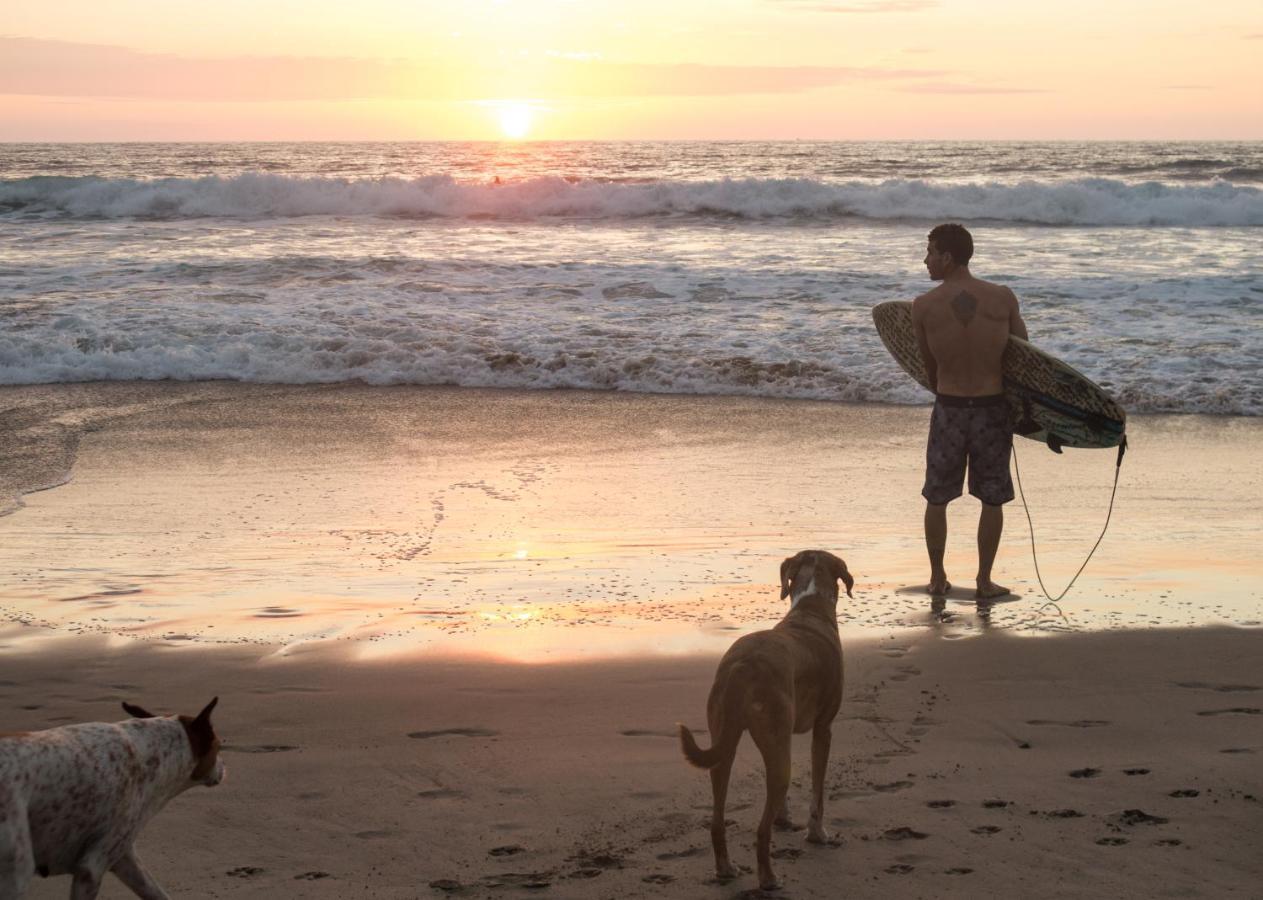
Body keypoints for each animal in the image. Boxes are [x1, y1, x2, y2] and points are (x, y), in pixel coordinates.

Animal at [0, 696, 222, 898]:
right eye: (218, 747)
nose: (224, 768)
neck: (152, 753)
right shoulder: (91, 868)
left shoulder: (124, 857)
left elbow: (156, 892)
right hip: (17, 873)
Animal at [682, 550, 848, 888]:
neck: (811, 606)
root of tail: (742, 667)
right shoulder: (823, 729)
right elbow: (817, 791)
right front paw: (817, 834)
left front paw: (783, 817)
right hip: (774, 734)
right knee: (761, 830)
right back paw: (769, 878)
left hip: (726, 739)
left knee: (718, 816)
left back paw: (726, 868)